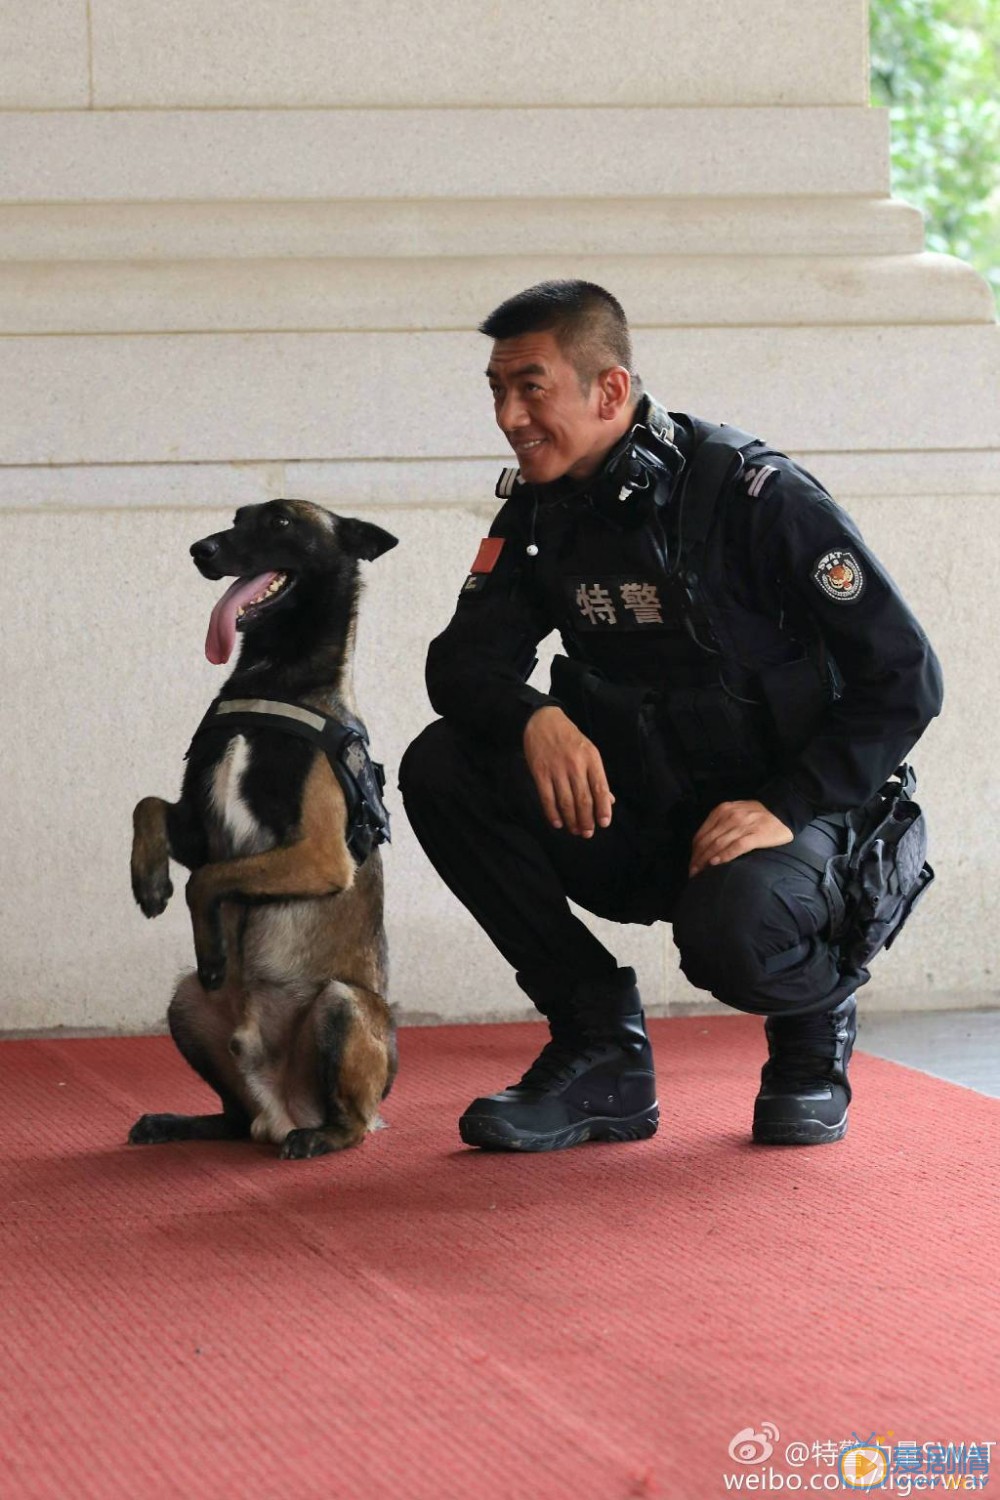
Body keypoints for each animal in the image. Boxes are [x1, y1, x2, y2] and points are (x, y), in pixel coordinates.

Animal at [128, 501, 398, 1158]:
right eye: (236, 517)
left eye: (280, 522)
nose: (200, 550)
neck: (272, 680)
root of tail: (278, 1111)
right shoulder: (199, 830)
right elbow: (149, 807)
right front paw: (149, 882)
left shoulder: (321, 855)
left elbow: (207, 881)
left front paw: (211, 946)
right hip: (185, 1003)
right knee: (230, 1117)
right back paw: (180, 1123)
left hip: (342, 1005)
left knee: (354, 1124)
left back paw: (318, 1137)